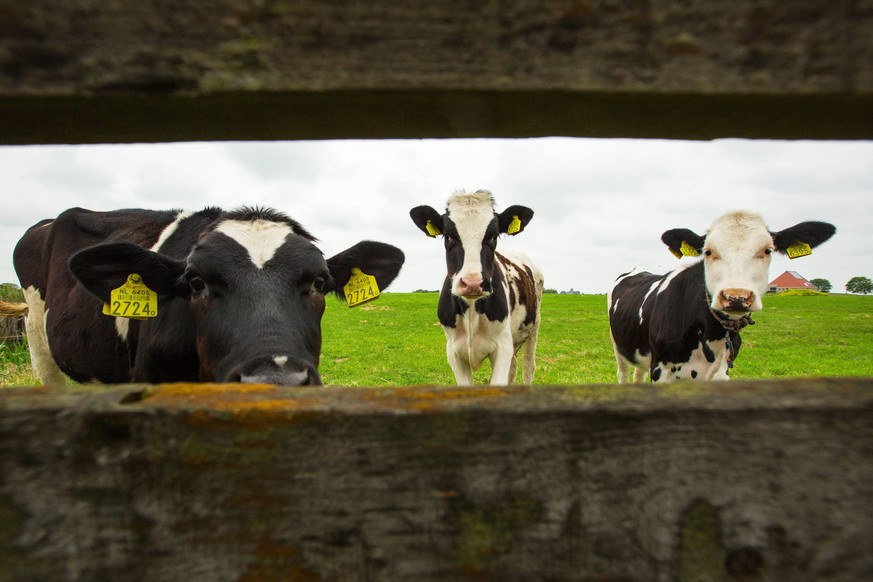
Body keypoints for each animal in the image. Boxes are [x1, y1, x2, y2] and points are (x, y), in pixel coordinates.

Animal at [408, 189, 540, 386]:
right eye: (448, 237)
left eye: (493, 236)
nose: (472, 283)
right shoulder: (453, 350)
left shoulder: (502, 346)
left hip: (533, 328)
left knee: (528, 368)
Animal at [608, 210, 836, 384]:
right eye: (708, 251)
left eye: (767, 250)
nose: (736, 297)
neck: (710, 332)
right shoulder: (661, 370)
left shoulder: (720, 373)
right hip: (619, 346)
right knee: (624, 374)